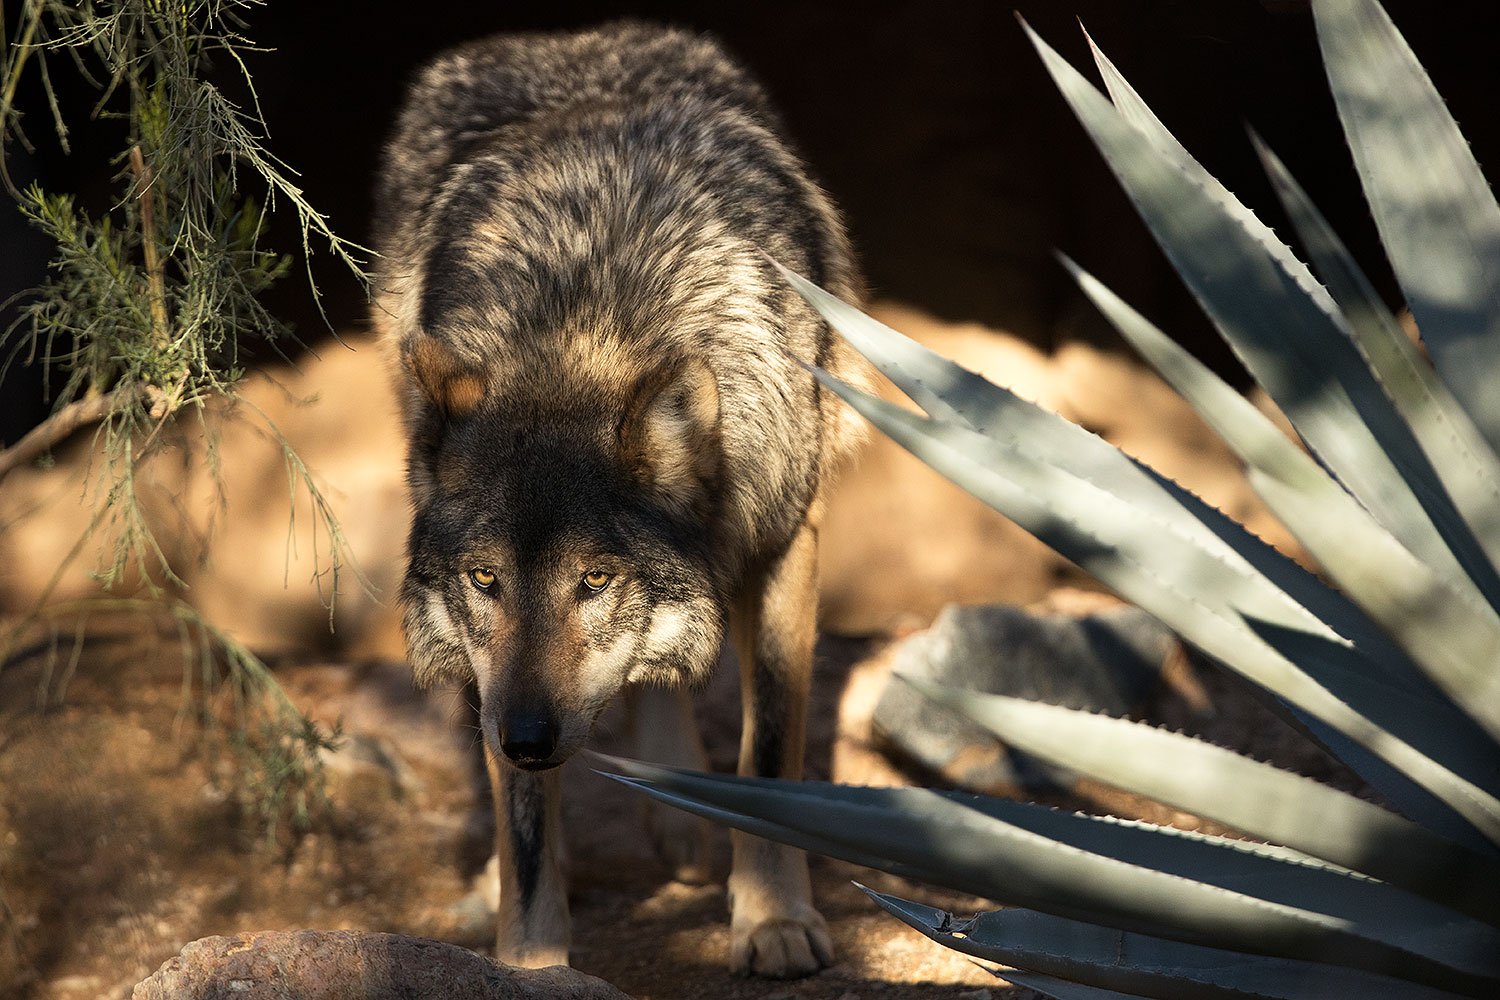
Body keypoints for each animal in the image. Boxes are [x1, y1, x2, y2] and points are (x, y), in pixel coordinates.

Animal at [371, 21, 871, 978]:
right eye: (485, 580)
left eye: (595, 580)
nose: (527, 738)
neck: (588, 322)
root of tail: (570, 37)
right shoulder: (502, 691)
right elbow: (528, 833)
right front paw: (530, 965)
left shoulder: (786, 542)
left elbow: (770, 747)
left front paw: (773, 919)